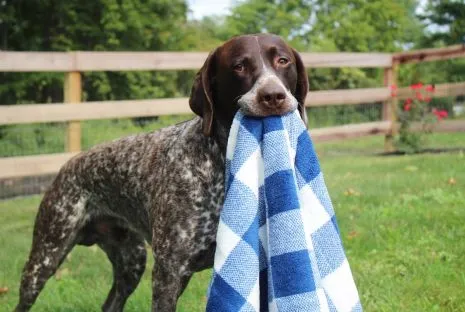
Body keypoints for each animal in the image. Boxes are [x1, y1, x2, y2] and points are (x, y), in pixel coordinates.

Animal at [15, 34, 308, 312]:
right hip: (46, 256)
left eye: (283, 61)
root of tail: (69, 165)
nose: (273, 96)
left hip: (131, 262)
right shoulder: (170, 272)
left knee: (111, 303)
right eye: (239, 66)